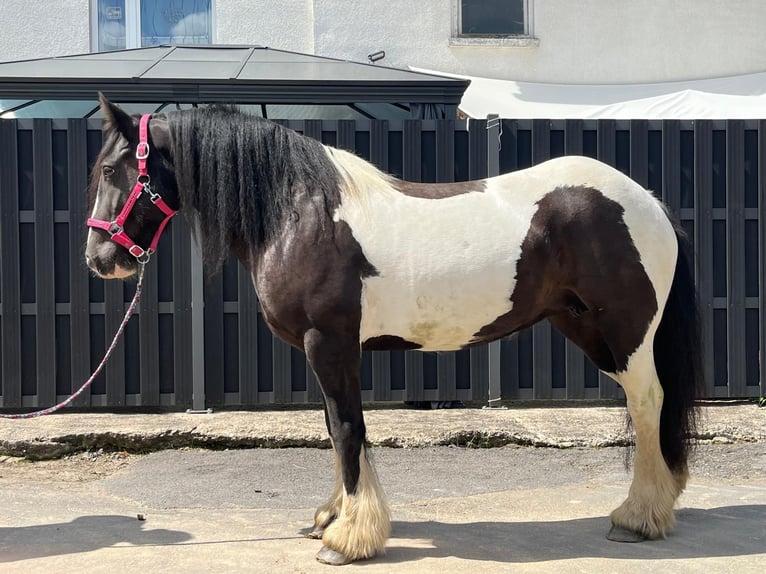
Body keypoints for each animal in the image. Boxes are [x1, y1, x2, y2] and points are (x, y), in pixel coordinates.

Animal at [85, 95, 704, 568]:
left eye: (112, 170)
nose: (99, 260)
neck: (300, 215)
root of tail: (649, 203)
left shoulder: (330, 343)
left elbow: (348, 429)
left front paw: (347, 539)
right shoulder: (327, 351)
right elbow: (335, 430)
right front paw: (333, 518)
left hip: (625, 335)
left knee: (648, 403)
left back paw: (637, 518)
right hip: (586, 327)